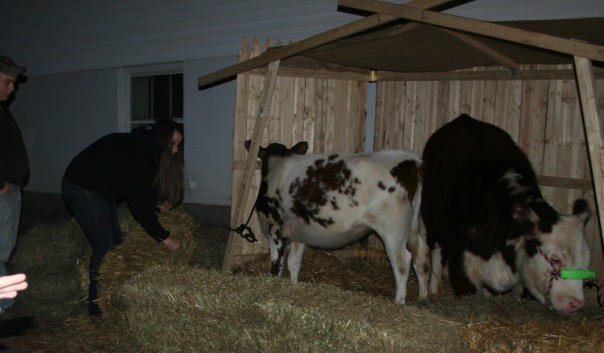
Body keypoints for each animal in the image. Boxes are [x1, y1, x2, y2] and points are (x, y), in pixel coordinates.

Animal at [245, 140, 430, 302]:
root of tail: (412, 161)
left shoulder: (275, 229)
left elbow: (276, 265)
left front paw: (274, 286)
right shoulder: (298, 233)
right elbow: (293, 263)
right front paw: (293, 286)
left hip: (392, 230)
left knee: (402, 262)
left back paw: (399, 302)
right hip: (412, 228)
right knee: (421, 254)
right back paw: (422, 297)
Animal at [420, 113, 588, 314]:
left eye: (586, 260)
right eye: (555, 258)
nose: (575, 303)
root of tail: (463, 118)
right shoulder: (460, 261)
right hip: (432, 224)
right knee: (437, 253)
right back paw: (433, 289)